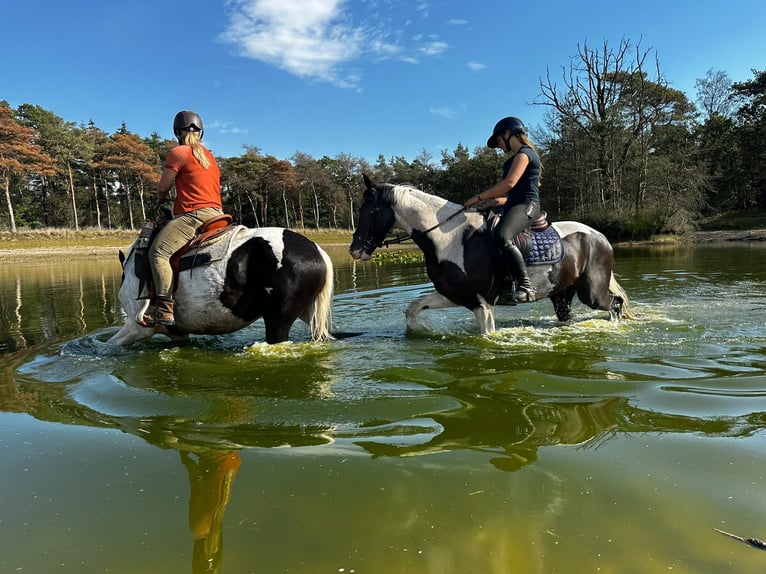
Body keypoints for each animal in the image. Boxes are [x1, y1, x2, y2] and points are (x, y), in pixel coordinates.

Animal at [108, 224, 334, 346]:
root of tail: (317, 251)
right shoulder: (178, 334)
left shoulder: (136, 328)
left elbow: (110, 344)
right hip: (309, 315)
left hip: (278, 322)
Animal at [349, 175, 633, 335]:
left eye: (369, 211)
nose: (355, 250)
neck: (449, 238)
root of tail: (599, 236)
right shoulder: (455, 295)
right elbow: (413, 309)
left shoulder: (483, 303)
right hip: (561, 293)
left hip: (591, 293)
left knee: (616, 304)